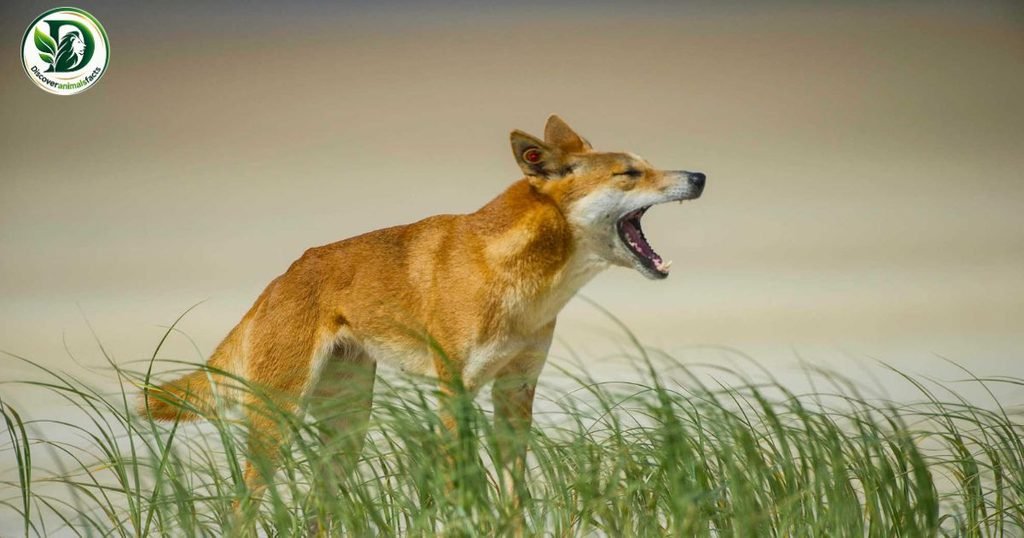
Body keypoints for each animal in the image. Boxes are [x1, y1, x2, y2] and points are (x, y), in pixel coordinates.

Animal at [139, 114, 706, 510]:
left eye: (646, 165)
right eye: (631, 173)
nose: (700, 175)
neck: (523, 279)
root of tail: (279, 279)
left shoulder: (516, 389)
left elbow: (514, 491)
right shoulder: (453, 388)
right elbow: (460, 481)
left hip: (349, 427)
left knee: (320, 504)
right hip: (279, 423)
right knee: (245, 504)